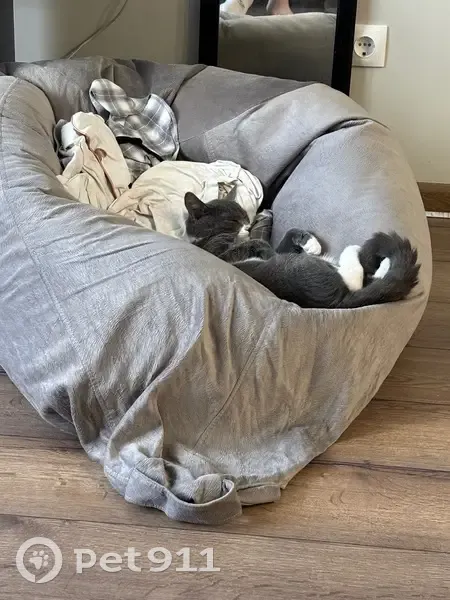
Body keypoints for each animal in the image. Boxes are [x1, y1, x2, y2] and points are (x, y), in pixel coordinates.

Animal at [184, 190, 420, 309]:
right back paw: (353, 251)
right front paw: (263, 248)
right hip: (296, 268)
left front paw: (311, 243)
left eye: (245, 215)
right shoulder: (218, 252)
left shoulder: (281, 247)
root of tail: (337, 303)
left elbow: (287, 235)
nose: (249, 226)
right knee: (354, 277)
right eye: (233, 219)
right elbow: (254, 245)